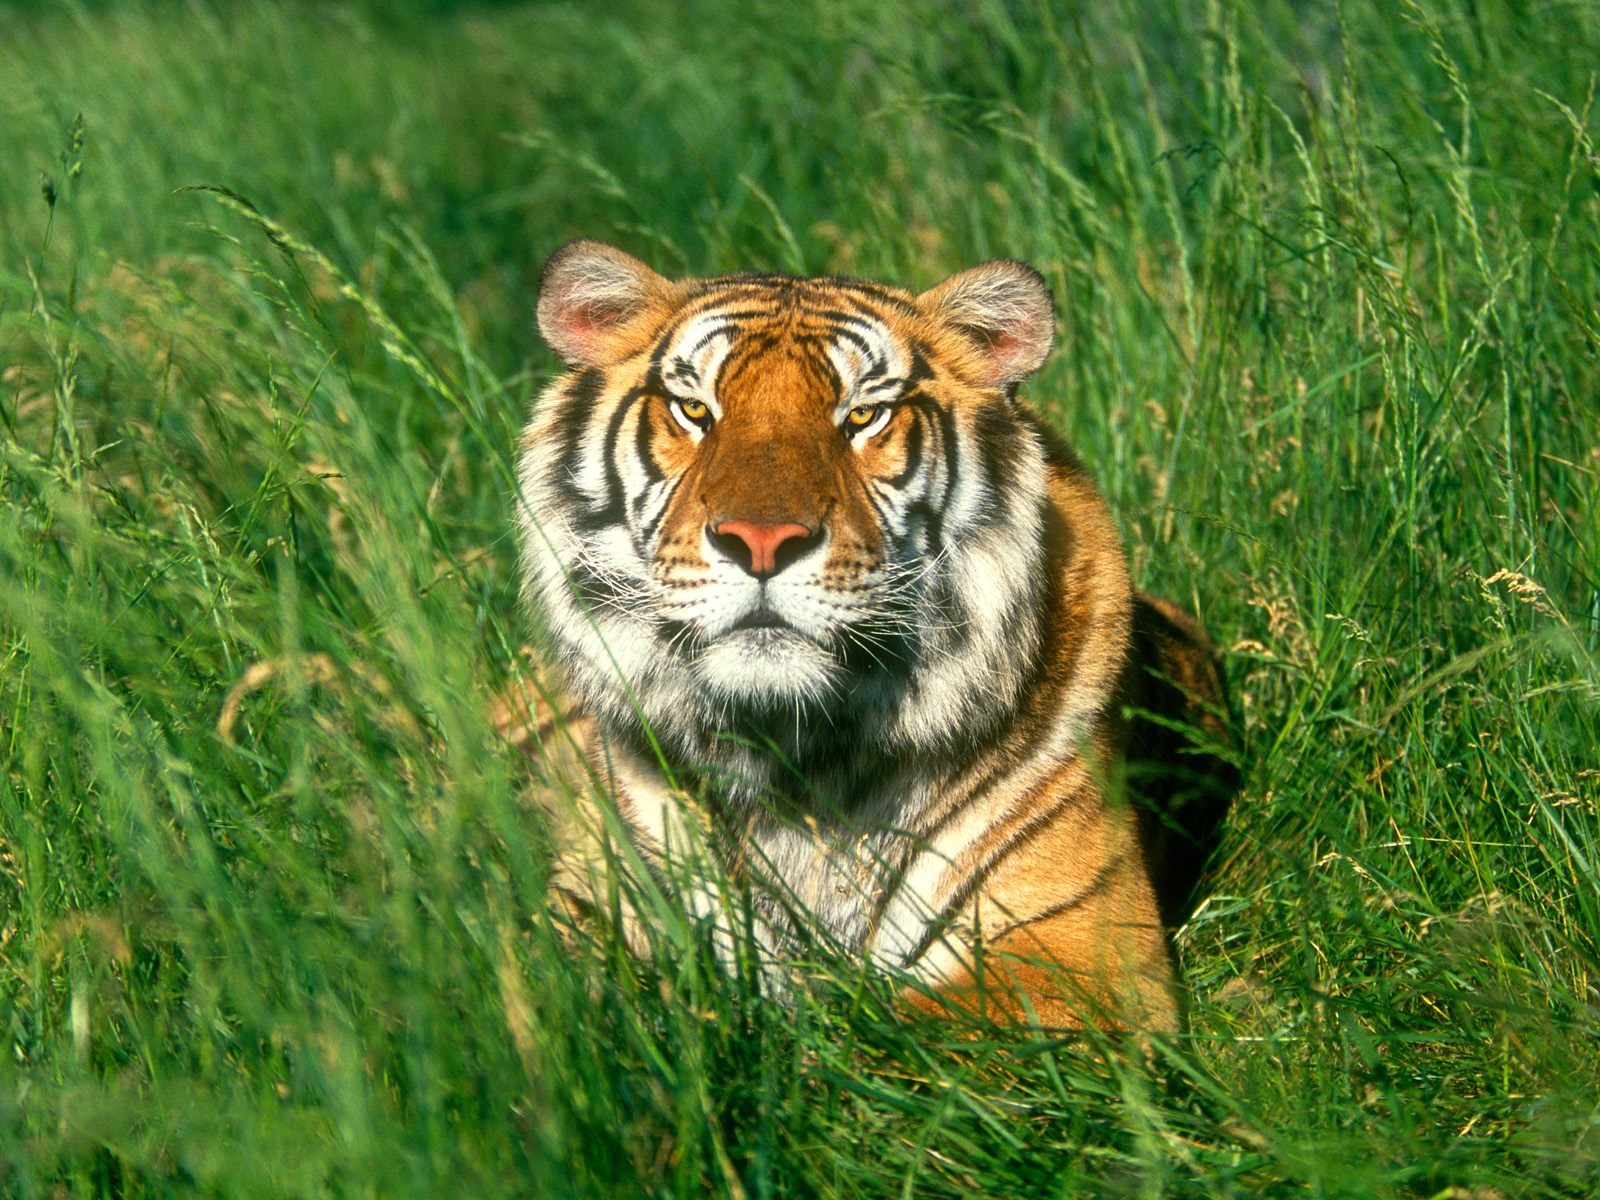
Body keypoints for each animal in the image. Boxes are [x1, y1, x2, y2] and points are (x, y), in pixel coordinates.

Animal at [512, 236, 1235, 1036]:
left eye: (863, 416)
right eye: (695, 409)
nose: (761, 541)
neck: (793, 756)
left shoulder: (1080, 960)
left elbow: (878, 1041)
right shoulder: (589, 908)